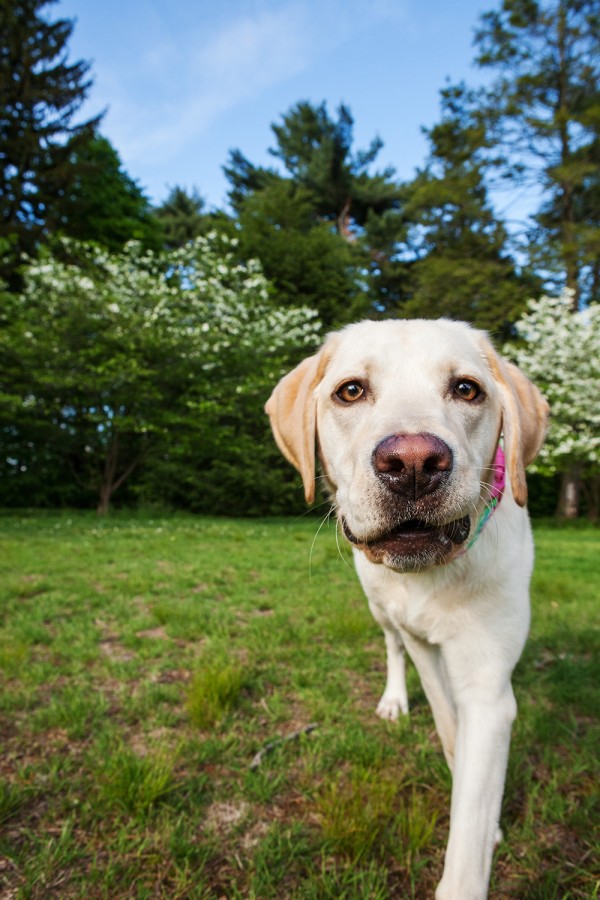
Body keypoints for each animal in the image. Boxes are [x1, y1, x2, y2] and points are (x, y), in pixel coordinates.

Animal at [264, 320, 548, 900]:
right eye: (351, 391)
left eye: (466, 389)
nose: (413, 463)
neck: (432, 576)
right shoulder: (423, 647)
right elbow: (448, 728)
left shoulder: (487, 684)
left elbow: (470, 822)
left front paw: (481, 825)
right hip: (380, 609)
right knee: (392, 646)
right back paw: (394, 700)